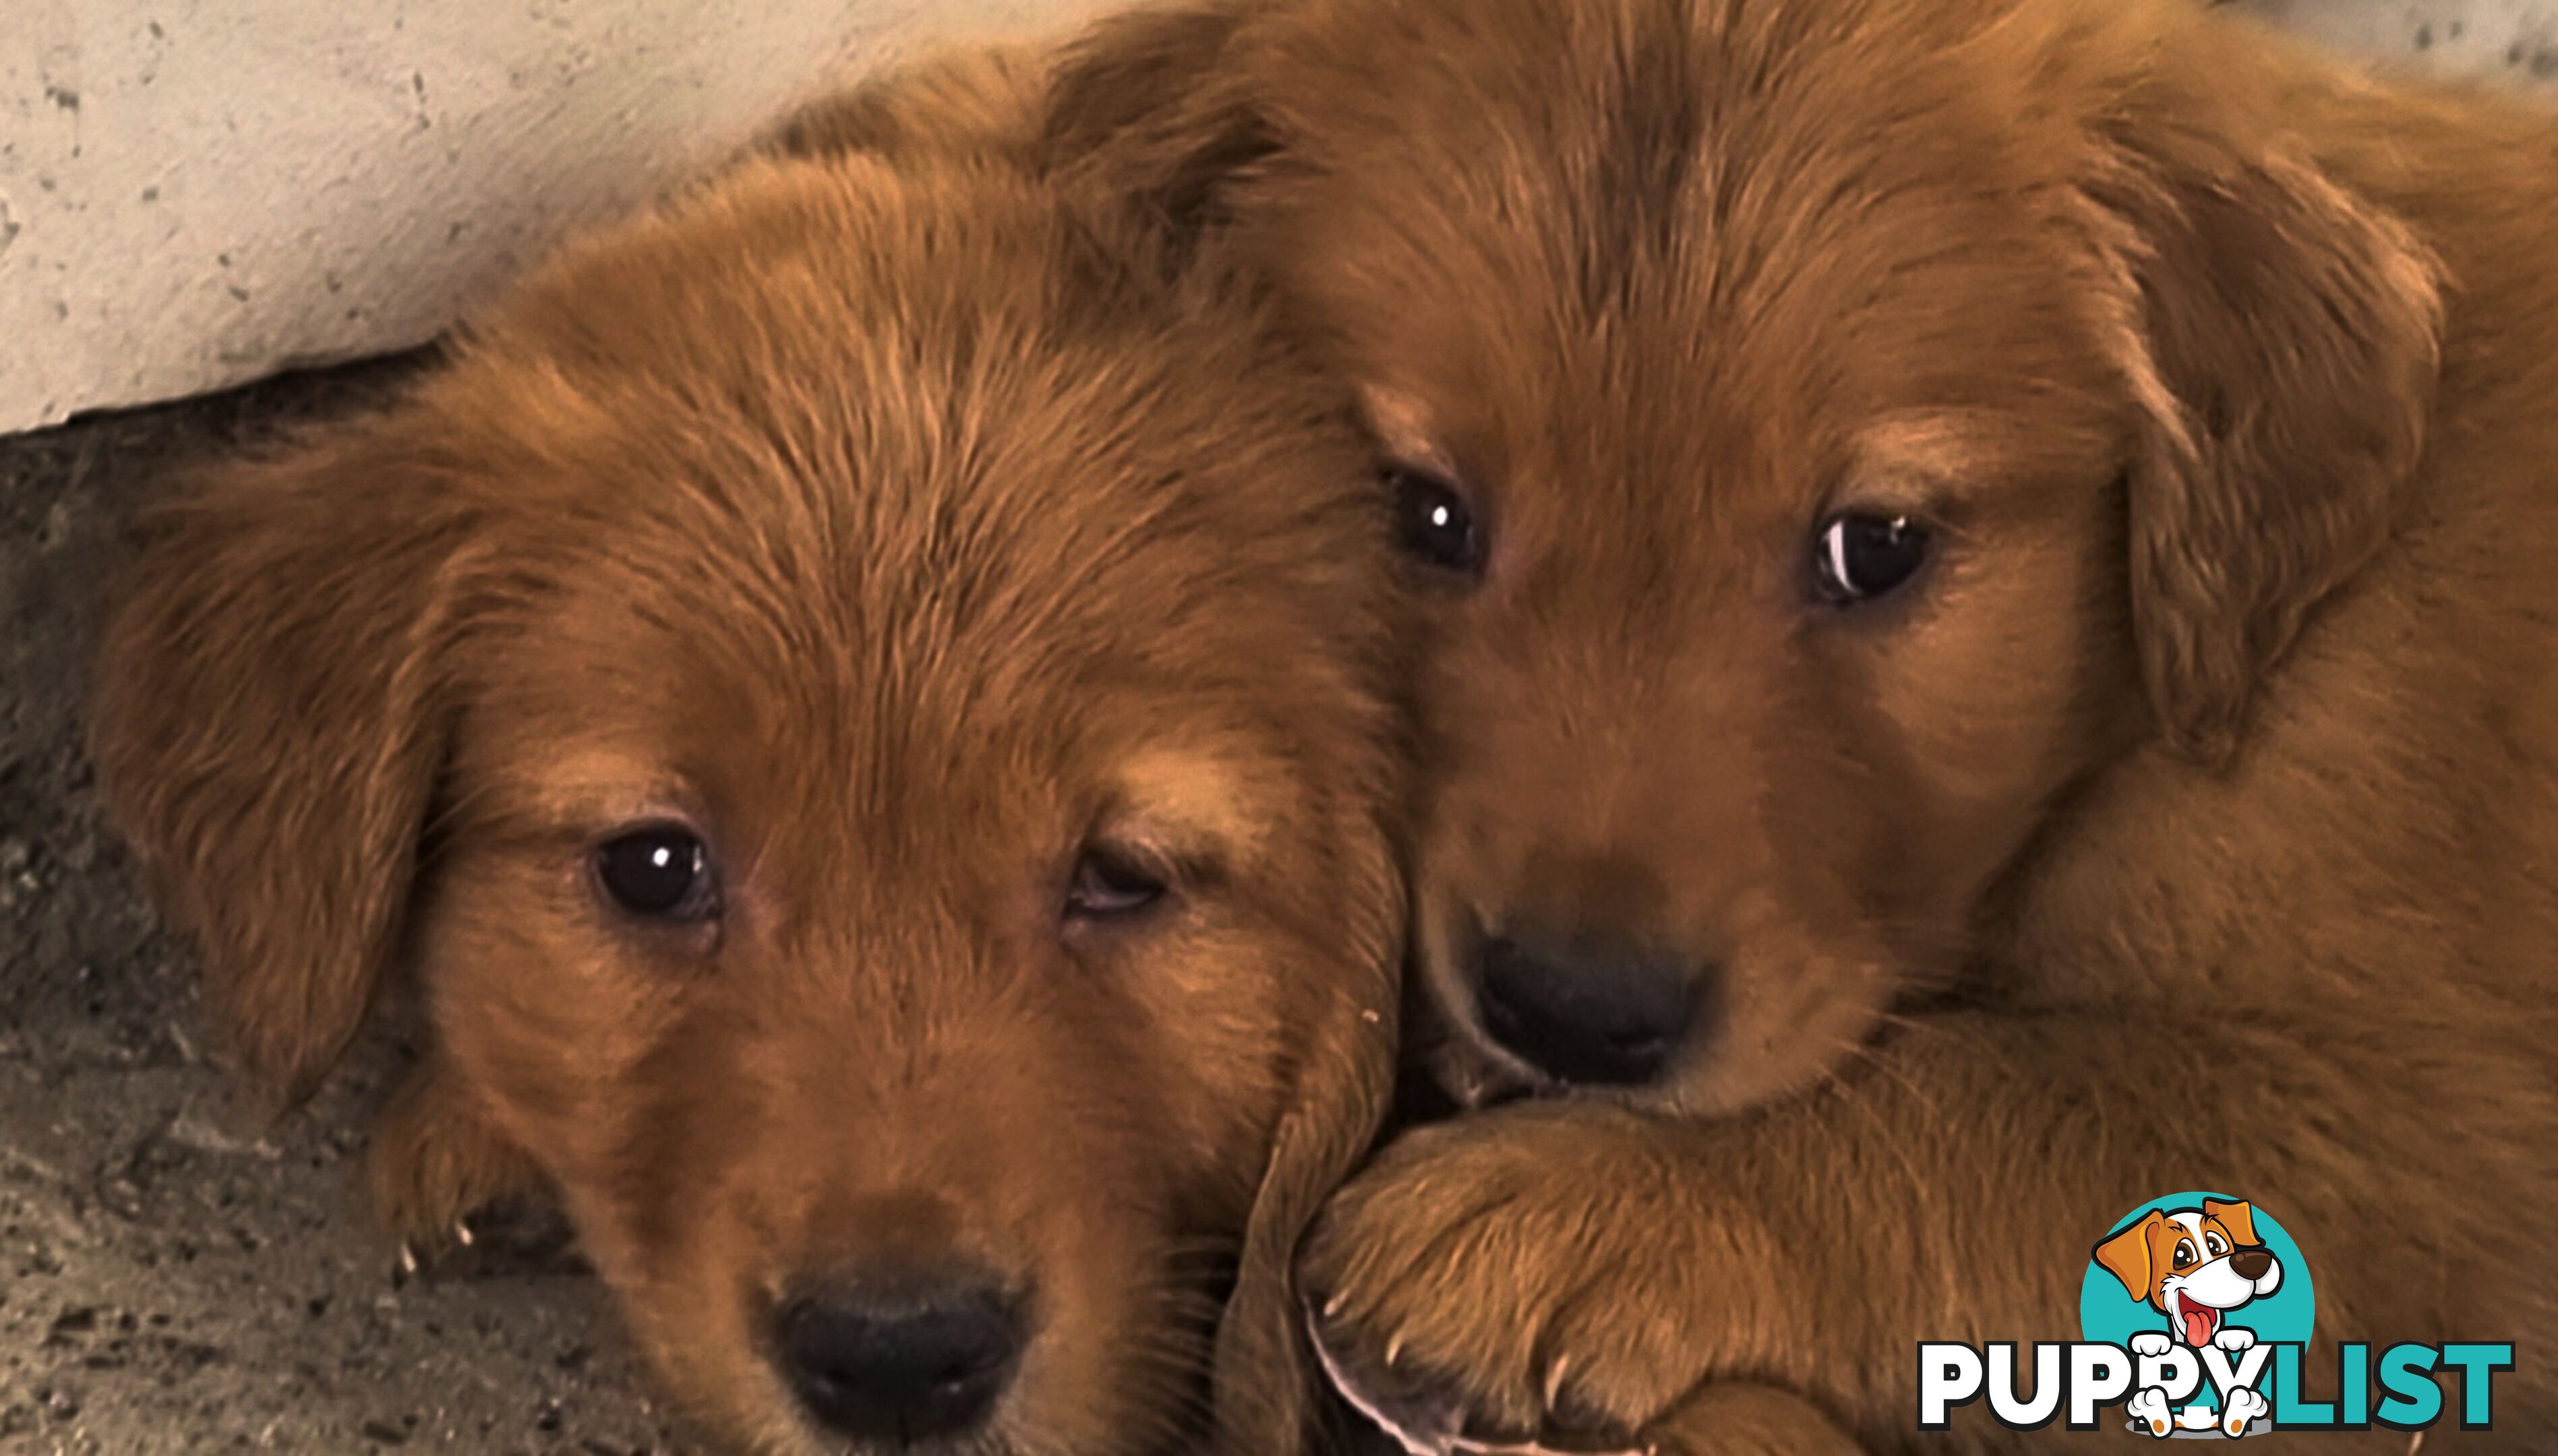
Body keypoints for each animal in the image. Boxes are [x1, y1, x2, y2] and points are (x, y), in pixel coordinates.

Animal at [1054, 0, 2558, 1443]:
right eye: (1421, 512)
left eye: (1875, 548)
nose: (1569, 1013)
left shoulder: (2443, 1138)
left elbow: (2019, 1097)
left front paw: (1584, 1201)